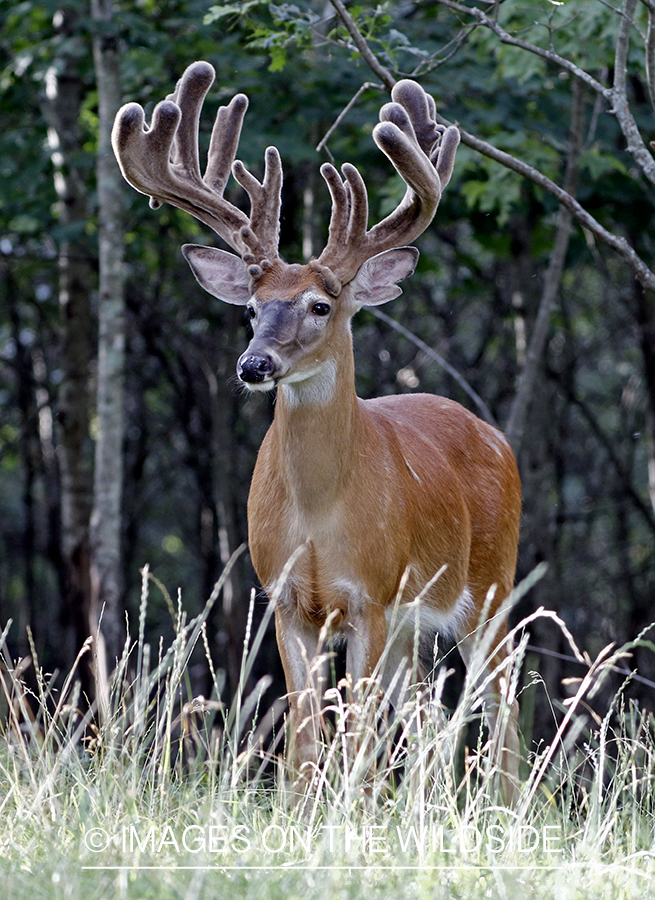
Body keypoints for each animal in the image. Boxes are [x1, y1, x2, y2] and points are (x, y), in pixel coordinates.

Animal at [111, 59, 524, 800]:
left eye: (320, 306)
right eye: (251, 308)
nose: (253, 365)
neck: (318, 515)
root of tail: (492, 435)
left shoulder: (371, 596)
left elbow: (356, 737)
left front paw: (352, 810)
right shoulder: (285, 600)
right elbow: (306, 741)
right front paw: (307, 809)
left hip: (490, 586)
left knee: (502, 710)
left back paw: (510, 804)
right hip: (418, 624)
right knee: (424, 717)